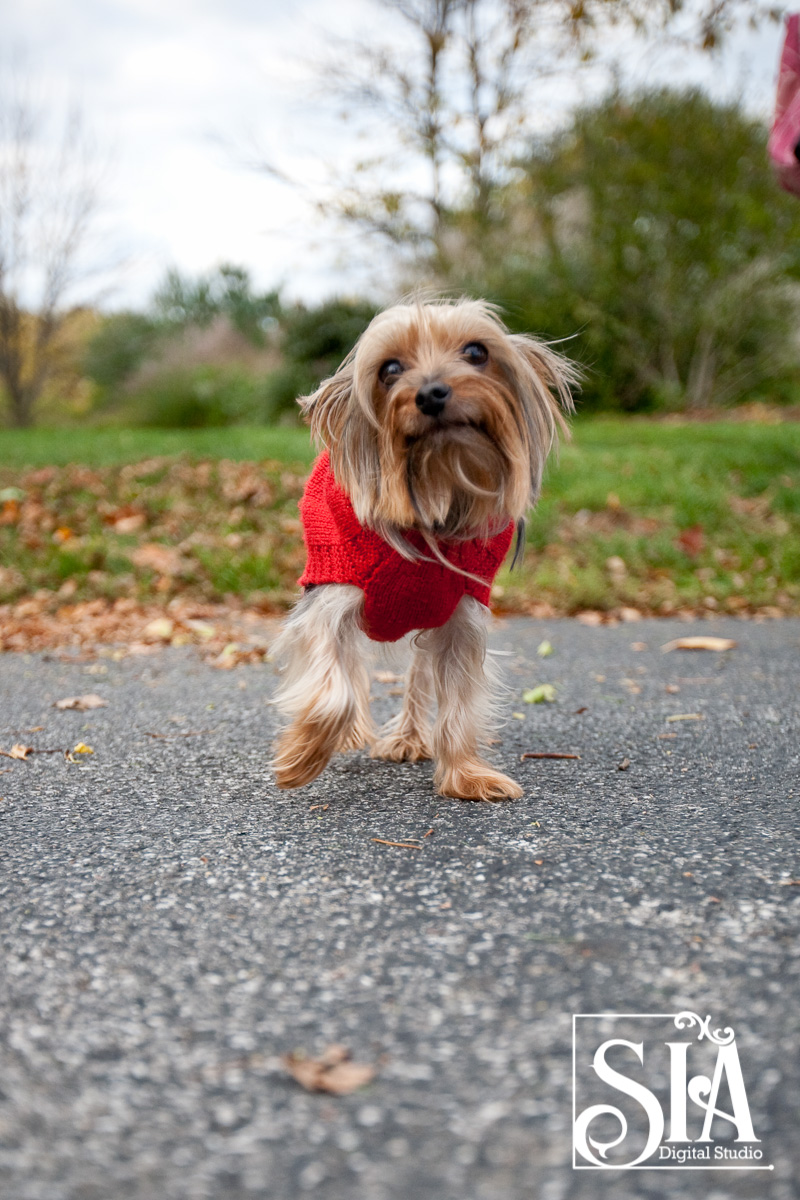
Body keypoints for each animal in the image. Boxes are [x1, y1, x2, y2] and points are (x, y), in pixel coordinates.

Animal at [273, 298, 575, 801]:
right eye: (390, 369)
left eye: (476, 352)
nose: (432, 393)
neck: (435, 488)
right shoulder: (330, 595)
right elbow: (334, 686)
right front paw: (303, 755)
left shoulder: (460, 615)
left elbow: (457, 698)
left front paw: (466, 775)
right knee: (351, 666)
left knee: (417, 674)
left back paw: (409, 737)